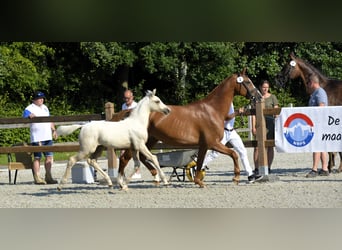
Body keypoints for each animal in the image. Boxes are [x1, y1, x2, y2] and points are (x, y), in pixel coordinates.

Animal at [117, 69, 262, 188]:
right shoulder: (212, 143)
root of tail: (131, 111)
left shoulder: (204, 145)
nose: (259, 96)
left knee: (142, 157)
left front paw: (198, 181)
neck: (212, 110)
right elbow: (233, 154)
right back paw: (122, 183)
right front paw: (235, 178)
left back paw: (156, 177)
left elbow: (201, 162)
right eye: (248, 82)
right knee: (125, 158)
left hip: (151, 139)